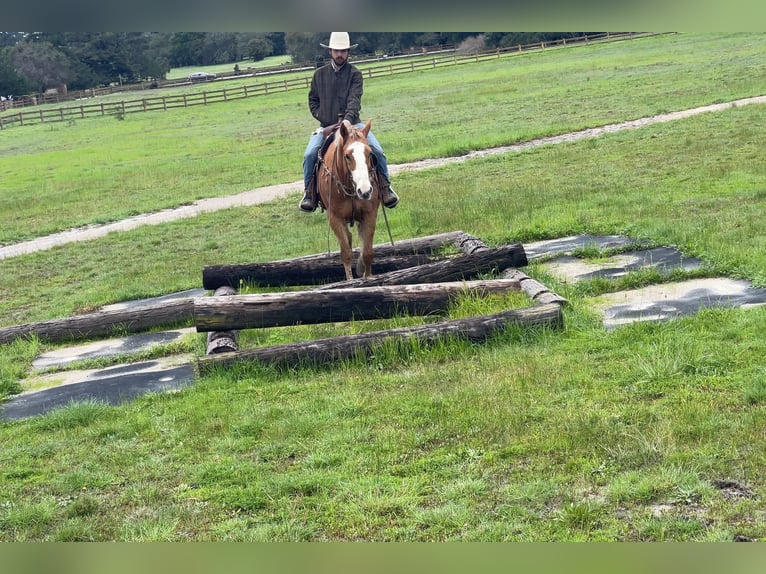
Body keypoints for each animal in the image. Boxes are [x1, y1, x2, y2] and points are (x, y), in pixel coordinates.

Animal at [318, 121, 380, 282]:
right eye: (347, 156)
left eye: (369, 153)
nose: (365, 191)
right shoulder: (335, 218)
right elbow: (345, 253)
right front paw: (351, 282)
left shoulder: (370, 214)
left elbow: (367, 253)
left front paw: (367, 275)